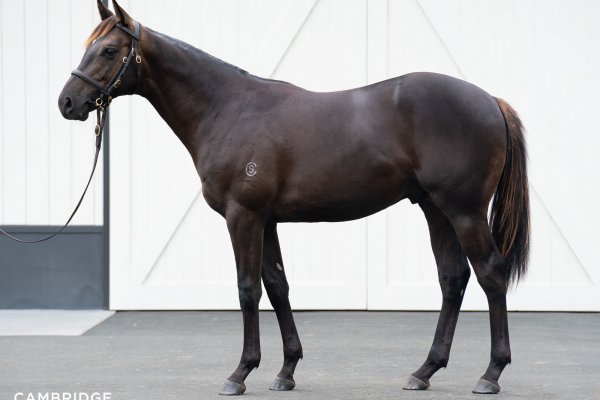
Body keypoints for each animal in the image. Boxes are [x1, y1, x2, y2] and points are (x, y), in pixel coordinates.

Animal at [59, 0, 528, 394]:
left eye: (108, 50)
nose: (67, 102)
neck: (227, 109)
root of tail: (490, 100)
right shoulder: (266, 219)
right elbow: (278, 287)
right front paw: (286, 371)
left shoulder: (243, 216)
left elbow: (248, 289)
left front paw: (239, 373)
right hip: (436, 209)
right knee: (453, 278)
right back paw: (424, 371)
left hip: (464, 211)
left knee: (490, 274)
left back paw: (491, 374)